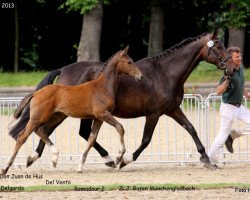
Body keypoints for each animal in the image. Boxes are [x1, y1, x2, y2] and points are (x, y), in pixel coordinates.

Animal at [0, 46, 143, 174]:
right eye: (129, 62)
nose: (140, 76)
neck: (102, 87)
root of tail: (36, 93)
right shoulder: (103, 114)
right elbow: (120, 127)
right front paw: (119, 156)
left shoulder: (98, 118)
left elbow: (91, 139)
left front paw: (80, 167)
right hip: (39, 117)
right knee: (22, 136)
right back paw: (5, 168)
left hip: (56, 116)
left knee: (41, 130)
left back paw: (53, 158)